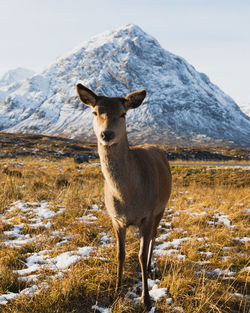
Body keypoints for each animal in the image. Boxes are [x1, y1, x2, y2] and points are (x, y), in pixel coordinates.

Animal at [75, 83, 171, 308]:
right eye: (95, 112)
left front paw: (146, 298)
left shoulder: (148, 213)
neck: (128, 197)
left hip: (162, 207)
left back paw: (151, 266)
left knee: (155, 236)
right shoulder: (116, 218)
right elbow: (120, 254)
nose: (106, 134)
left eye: (123, 113)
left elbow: (141, 255)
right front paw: (116, 290)